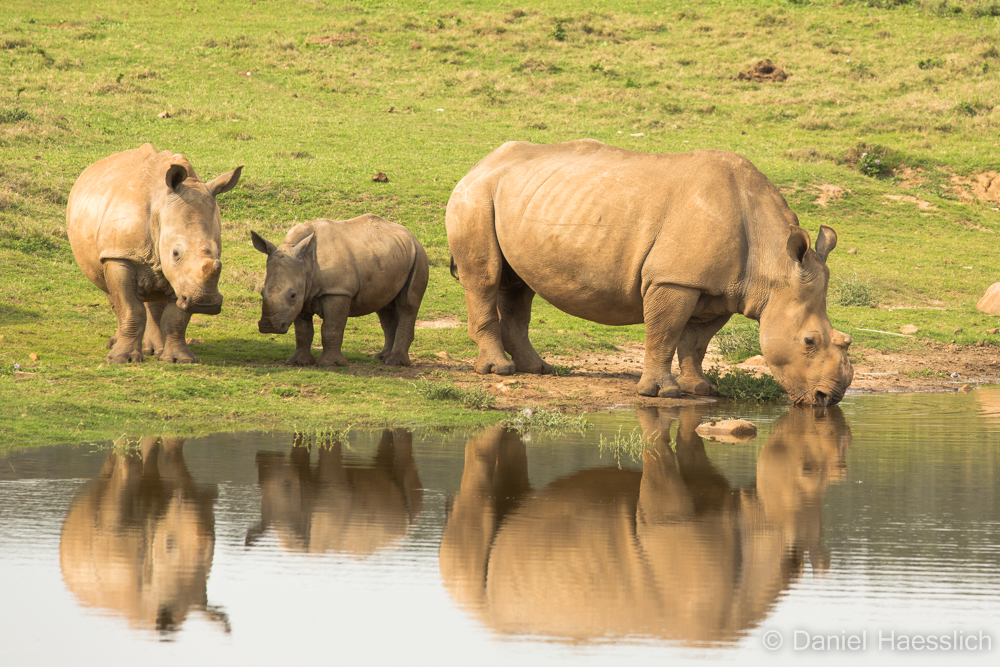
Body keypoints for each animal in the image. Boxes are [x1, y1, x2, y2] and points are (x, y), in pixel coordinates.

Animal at [66, 144, 242, 366]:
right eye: (175, 253)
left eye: (218, 254)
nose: (204, 302)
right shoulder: (120, 254)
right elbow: (130, 308)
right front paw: (121, 360)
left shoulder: (185, 281)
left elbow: (176, 316)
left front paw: (179, 359)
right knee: (111, 293)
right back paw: (115, 346)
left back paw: (155, 350)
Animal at [252, 217, 428, 368]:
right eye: (262, 293)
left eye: (292, 295)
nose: (269, 327)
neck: (306, 263)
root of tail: (411, 235)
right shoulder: (304, 293)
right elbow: (303, 331)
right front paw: (298, 362)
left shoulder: (337, 292)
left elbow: (331, 327)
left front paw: (330, 364)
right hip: (389, 256)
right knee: (384, 307)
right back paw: (381, 357)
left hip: (418, 255)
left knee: (408, 305)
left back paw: (394, 362)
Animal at [450, 138, 856, 404]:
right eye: (809, 342)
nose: (829, 398)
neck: (774, 264)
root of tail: (477, 164)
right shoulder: (672, 280)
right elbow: (664, 333)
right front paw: (662, 393)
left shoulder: (719, 289)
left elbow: (696, 342)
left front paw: (700, 389)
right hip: (475, 196)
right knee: (485, 278)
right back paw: (499, 371)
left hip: (519, 196)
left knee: (519, 286)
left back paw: (537, 369)